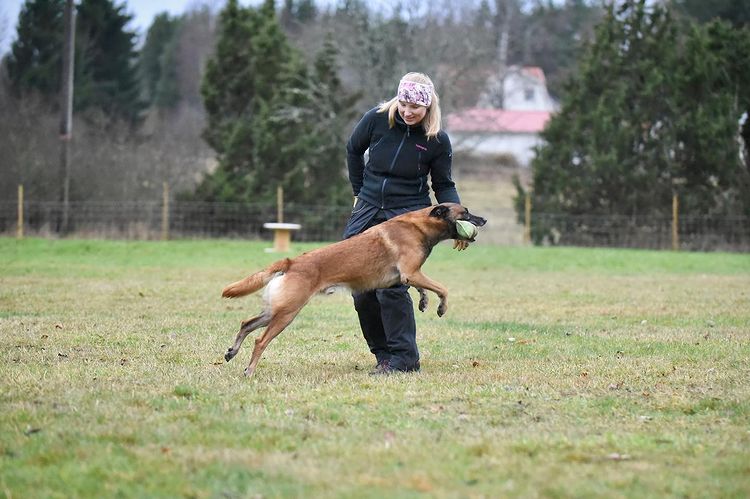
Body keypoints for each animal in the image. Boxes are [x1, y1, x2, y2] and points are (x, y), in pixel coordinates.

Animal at [219, 201, 488, 376]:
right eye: (465, 213)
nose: (484, 219)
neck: (419, 226)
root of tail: (291, 262)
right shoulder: (412, 273)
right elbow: (443, 288)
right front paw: (441, 307)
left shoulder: (409, 276)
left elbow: (423, 289)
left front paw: (424, 301)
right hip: (287, 313)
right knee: (260, 340)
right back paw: (250, 370)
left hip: (275, 310)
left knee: (246, 324)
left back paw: (232, 352)